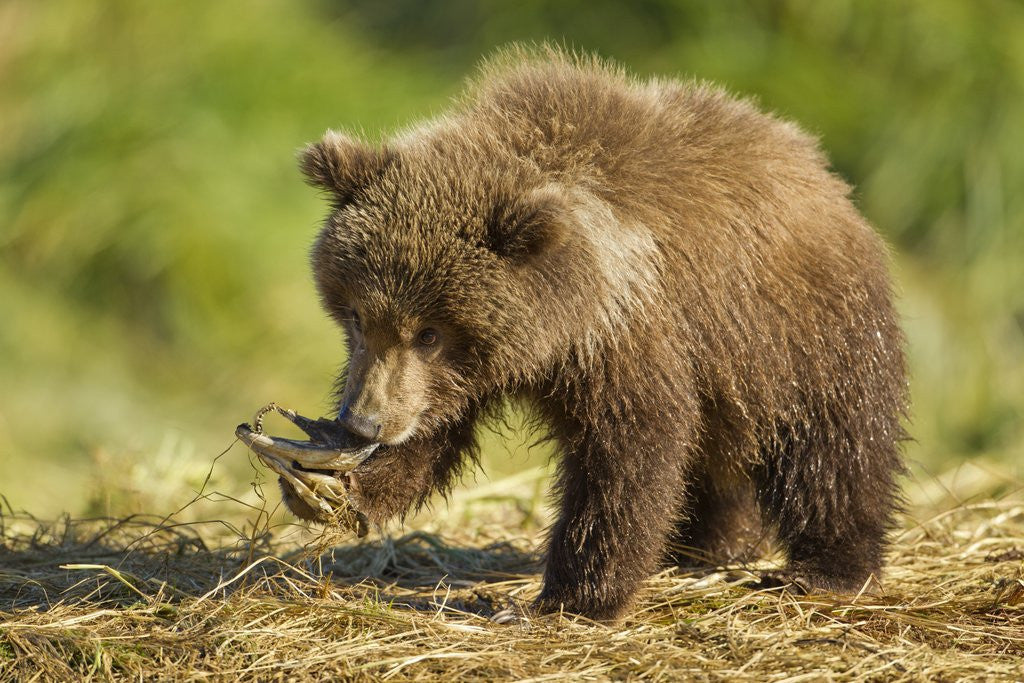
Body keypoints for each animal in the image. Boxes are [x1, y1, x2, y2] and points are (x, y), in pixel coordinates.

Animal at [293, 47, 908, 621]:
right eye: (356, 315)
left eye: (429, 333)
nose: (364, 421)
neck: (556, 329)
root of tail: (818, 167)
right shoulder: (461, 374)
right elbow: (433, 434)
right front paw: (331, 485)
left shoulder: (628, 331)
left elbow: (627, 455)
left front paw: (570, 597)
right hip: (732, 370)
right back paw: (705, 546)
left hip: (802, 331)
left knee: (834, 448)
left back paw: (824, 570)